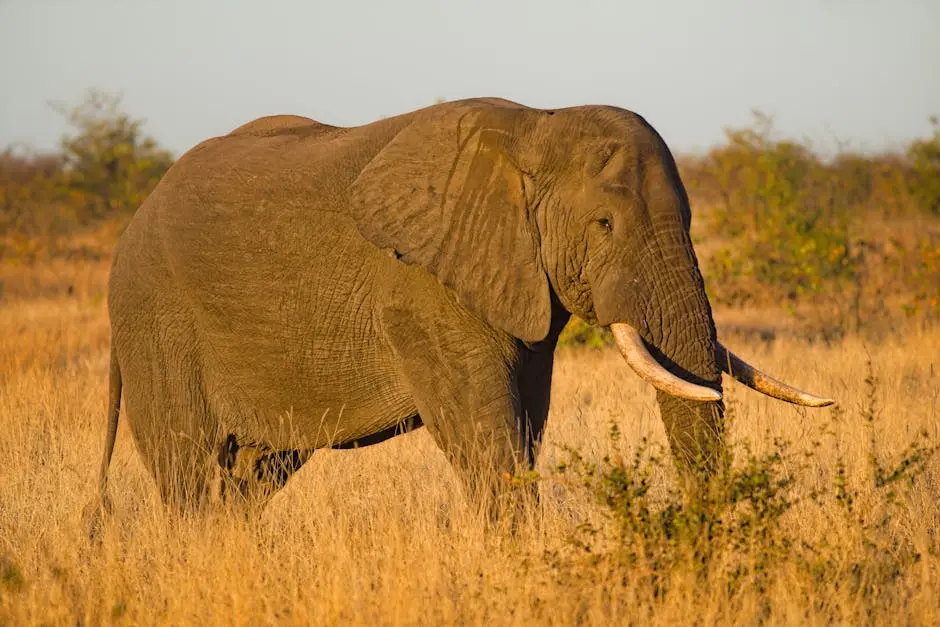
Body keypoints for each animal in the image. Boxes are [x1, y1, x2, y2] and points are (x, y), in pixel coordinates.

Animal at [90, 97, 836, 520]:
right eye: (603, 225)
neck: (535, 129)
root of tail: (133, 219)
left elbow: (525, 420)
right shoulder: (422, 288)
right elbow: (482, 430)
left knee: (252, 478)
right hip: (155, 317)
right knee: (189, 472)